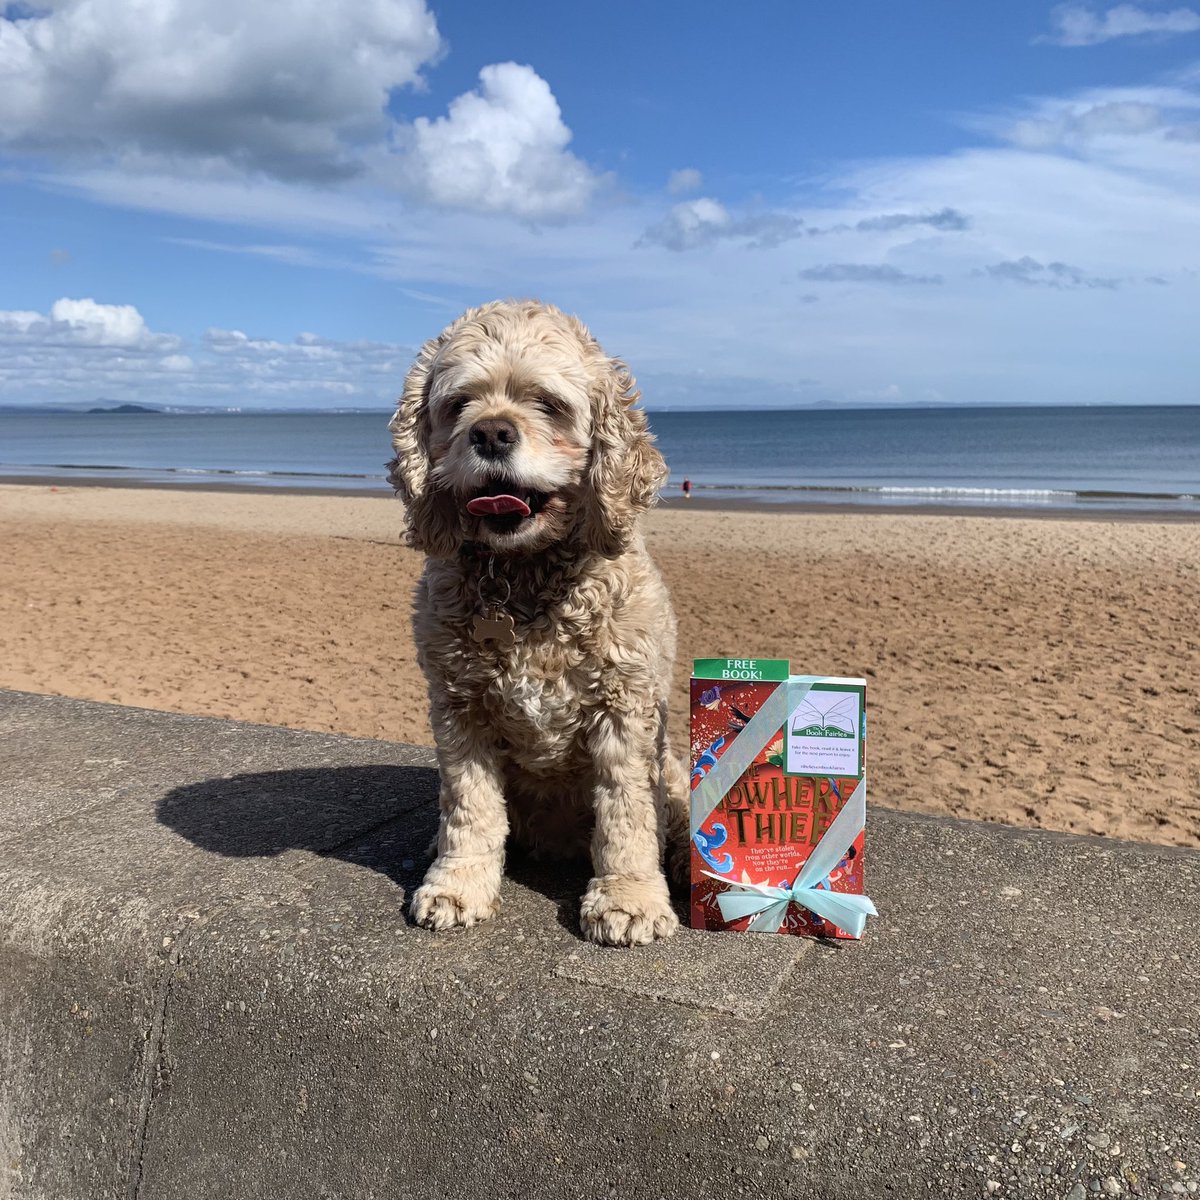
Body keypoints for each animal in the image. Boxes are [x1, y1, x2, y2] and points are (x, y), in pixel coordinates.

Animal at [388, 297, 691, 945]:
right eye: (459, 404)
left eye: (548, 404)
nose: (491, 432)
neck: (524, 574)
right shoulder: (460, 707)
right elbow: (470, 807)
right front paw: (457, 883)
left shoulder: (625, 709)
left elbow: (628, 814)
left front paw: (629, 898)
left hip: (674, 764)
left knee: (675, 816)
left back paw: (681, 860)